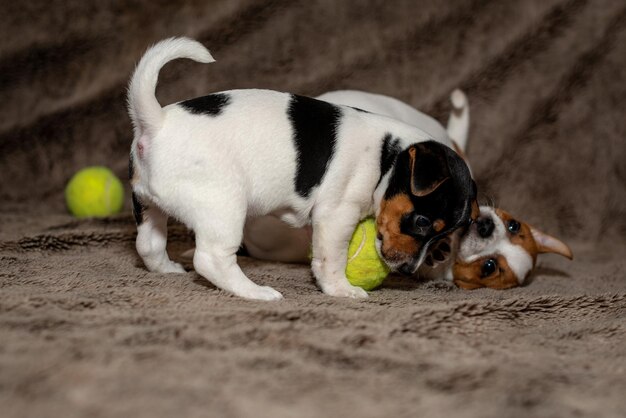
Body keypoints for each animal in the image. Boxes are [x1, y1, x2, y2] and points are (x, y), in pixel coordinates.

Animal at [128, 38, 478, 300]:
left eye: (445, 234)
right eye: (422, 221)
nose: (407, 270)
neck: (385, 156)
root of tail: (157, 122)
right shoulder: (336, 214)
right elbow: (332, 257)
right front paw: (341, 289)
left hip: (147, 205)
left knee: (148, 244)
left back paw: (168, 269)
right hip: (223, 206)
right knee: (212, 259)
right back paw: (256, 292)